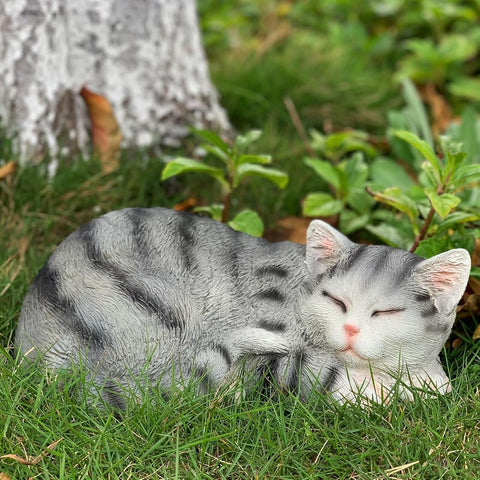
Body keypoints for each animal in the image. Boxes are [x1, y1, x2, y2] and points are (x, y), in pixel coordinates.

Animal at [15, 207, 468, 404]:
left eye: (387, 313)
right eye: (336, 301)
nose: (352, 329)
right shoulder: (277, 348)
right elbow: (324, 380)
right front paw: (407, 390)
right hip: (162, 314)